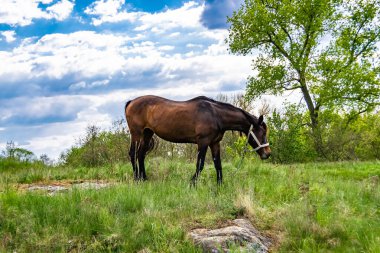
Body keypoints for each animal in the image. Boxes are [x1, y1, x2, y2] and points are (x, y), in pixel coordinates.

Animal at [124, 95, 270, 184]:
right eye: (262, 132)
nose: (267, 153)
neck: (215, 115)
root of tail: (131, 102)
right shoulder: (203, 142)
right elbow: (200, 164)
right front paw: (193, 183)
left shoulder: (214, 143)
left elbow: (218, 165)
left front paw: (220, 185)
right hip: (137, 134)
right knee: (133, 154)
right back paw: (137, 179)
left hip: (147, 134)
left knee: (141, 155)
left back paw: (144, 178)